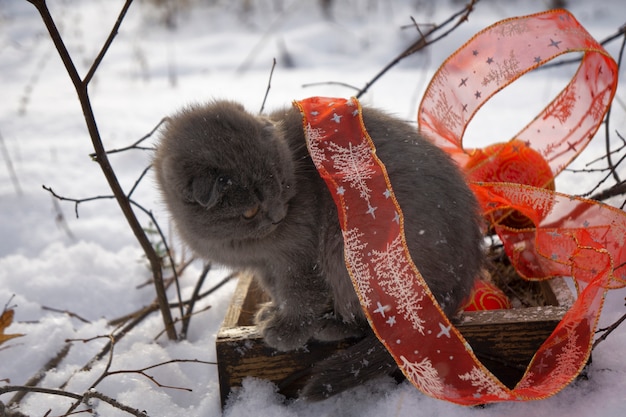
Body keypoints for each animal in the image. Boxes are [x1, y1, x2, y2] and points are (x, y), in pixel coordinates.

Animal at [152, 98, 482, 400]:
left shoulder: (300, 255)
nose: (277, 216)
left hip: (348, 253)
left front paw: (288, 330)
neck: (246, 244)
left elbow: (300, 294)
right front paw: (273, 309)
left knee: (378, 323)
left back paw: (331, 325)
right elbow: (276, 288)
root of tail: (456, 287)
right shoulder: (266, 264)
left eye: (282, 185)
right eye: (250, 211)